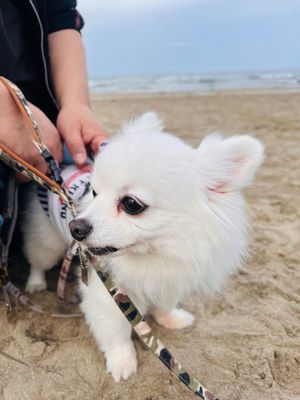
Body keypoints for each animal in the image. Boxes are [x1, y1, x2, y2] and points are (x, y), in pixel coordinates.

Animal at [22, 112, 262, 382]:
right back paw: (34, 284)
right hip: (47, 242)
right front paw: (122, 362)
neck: (153, 255)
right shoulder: (107, 294)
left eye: (131, 204)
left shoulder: (168, 280)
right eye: (94, 192)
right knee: (37, 260)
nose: (75, 227)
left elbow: (165, 304)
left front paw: (172, 319)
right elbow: (116, 331)